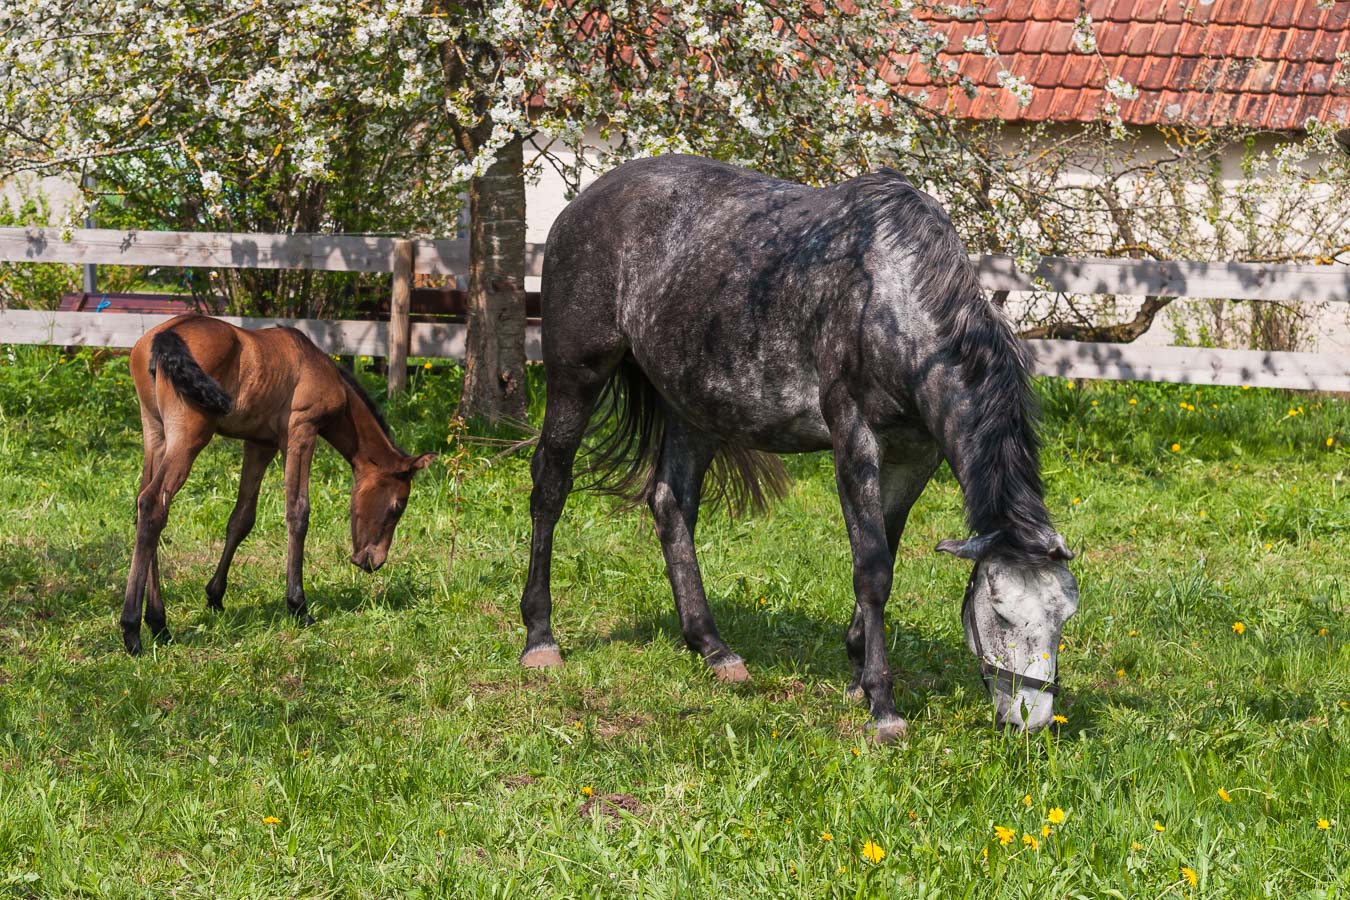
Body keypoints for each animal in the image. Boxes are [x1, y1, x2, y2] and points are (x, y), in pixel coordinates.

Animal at [121, 315, 434, 655]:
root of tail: (167, 335)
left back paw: (158, 624)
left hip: (155, 432)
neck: (319, 365)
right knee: (154, 504)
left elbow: (241, 519)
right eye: (397, 506)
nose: (373, 561)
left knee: (142, 507)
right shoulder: (301, 431)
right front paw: (298, 605)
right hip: (189, 435)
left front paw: (215, 595)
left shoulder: (260, 445)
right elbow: (298, 513)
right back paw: (132, 631)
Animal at [515, 155, 1074, 734]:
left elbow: (887, 551)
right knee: (550, 487)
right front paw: (882, 704)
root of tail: (583, 203)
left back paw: (713, 649)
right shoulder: (855, 438)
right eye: (1000, 610)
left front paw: (857, 673)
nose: (1033, 720)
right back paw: (540, 639)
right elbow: (873, 567)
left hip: (691, 405)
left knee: (672, 506)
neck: (892, 295)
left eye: (1065, 618)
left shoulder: (917, 457)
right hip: (576, 377)